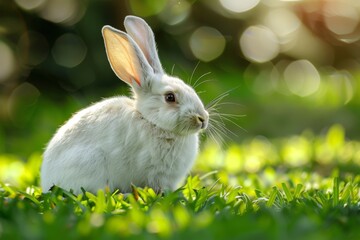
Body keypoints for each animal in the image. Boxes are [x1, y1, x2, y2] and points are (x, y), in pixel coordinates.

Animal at [40, 15, 208, 194]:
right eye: (170, 97)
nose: (203, 119)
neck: (151, 121)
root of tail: (46, 179)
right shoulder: (155, 173)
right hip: (92, 163)